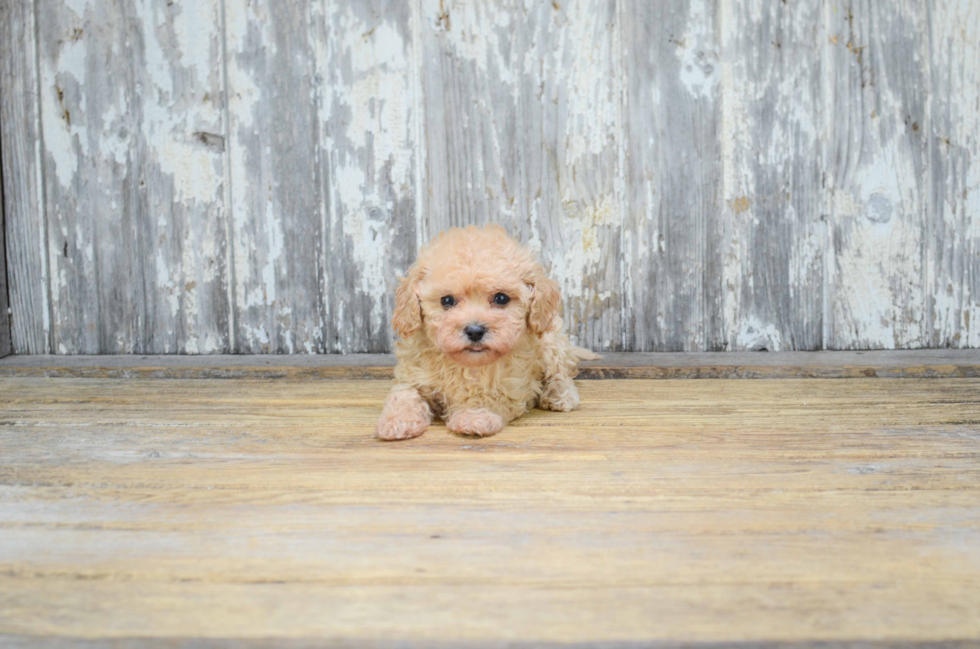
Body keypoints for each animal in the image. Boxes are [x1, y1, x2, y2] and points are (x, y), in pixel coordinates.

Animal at [378, 224, 596, 440]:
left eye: (501, 298)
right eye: (447, 300)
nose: (475, 331)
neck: (466, 364)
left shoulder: (509, 386)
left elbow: (485, 396)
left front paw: (474, 416)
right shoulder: (411, 376)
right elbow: (405, 395)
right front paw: (398, 421)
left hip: (551, 342)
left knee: (560, 373)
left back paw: (560, 395)